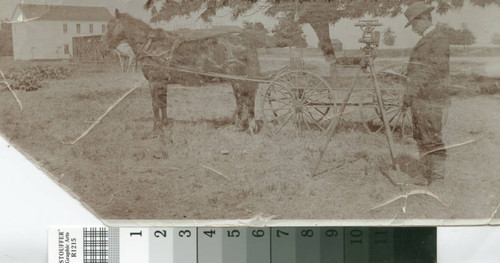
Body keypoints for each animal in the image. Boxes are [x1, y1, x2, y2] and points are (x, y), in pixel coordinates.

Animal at [100, 9, 260, 134]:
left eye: (110, 26)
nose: (102, 46)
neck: (153, 46)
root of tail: (243, 40)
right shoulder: (162, 82)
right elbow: (163, 103)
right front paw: (165, 124)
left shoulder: (154, 81)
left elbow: (155, 104)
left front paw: (156, 129)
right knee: (245, 100)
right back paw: (245, 126)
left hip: (237, 80)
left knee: (244, 100)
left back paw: (244, 127)